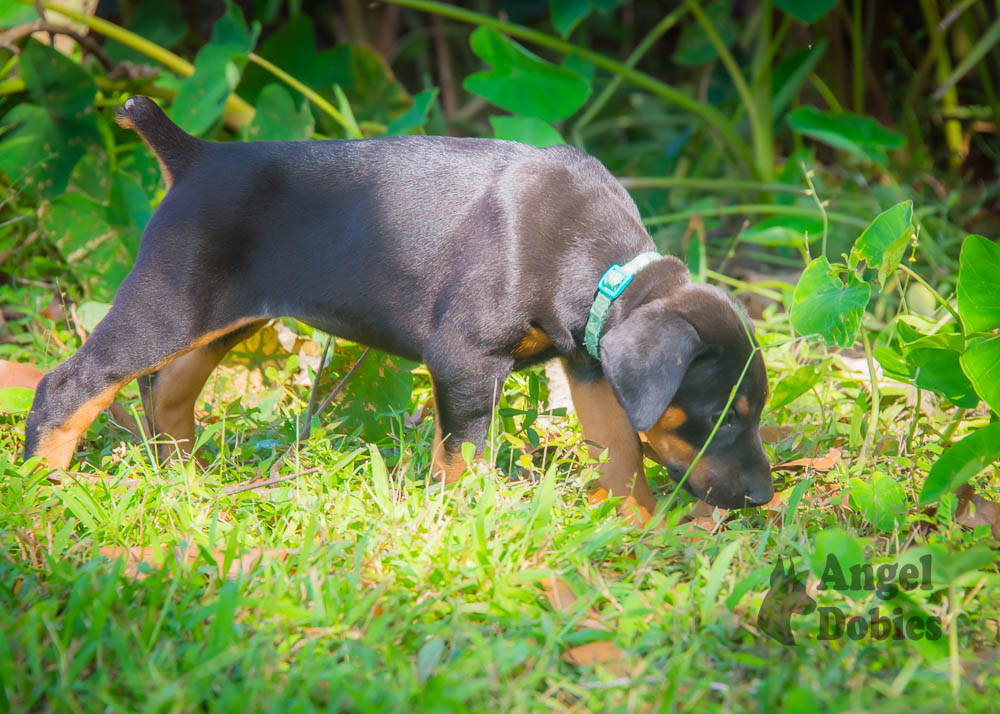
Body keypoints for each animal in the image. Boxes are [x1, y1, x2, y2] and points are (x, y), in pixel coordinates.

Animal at [24, 96, 773, 517]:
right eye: (721, 417)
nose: (765, 497)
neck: (604, 270)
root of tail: (194, 156)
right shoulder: (466, 359)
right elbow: (468, 455)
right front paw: (473, 519)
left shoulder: (588, 359)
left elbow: (619, 446)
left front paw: (636, 525)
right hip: (170, 303)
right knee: (71, 383)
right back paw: (39, 487)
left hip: (223, 317)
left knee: (168, 391)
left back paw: (192, 481)